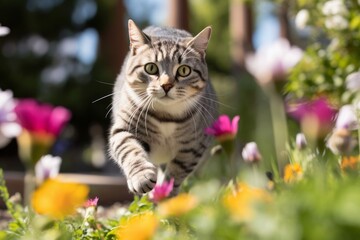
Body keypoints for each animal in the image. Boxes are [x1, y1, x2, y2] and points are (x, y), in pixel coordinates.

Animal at [108, 18, 218, 195]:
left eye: (184, 70)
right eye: (151, 68)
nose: (166, 85)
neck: (166, 117)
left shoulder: (194, 146)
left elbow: (176, 173)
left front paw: (166, 193)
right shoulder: (124, 129)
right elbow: (130, 150)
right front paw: (142, 176)